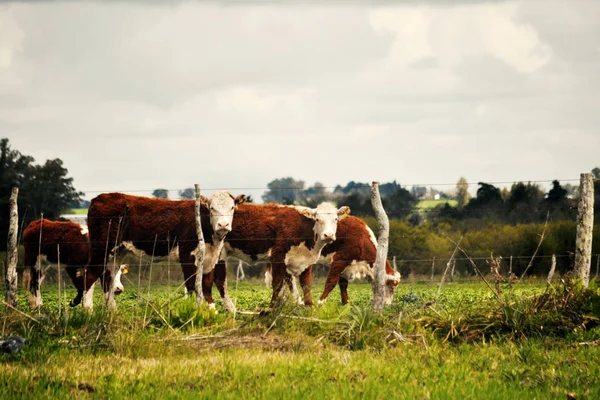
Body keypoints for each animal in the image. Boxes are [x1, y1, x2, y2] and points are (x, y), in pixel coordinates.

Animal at [80, 191, 246, 310]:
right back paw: (88, 310)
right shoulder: (187, 255)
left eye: (232, 207)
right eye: (212, 208)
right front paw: (195, 311)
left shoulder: (211, 259)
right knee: (91, 274)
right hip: (102, 248)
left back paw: (112, 313)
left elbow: (206, 287)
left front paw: (212, 312)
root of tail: (99, 198)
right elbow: (192, 286)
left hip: (118, 251)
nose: (223, 224)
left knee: (108, 276)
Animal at [200, 202, 352, 308]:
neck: (301, 227)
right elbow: (278, 284)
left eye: (336, 219)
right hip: (218, 254)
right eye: (317, 219)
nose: (328, 235)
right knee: (217, 281)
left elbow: (306, 285)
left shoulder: (306, 261)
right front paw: (272, 308)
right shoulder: (278, 256)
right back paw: (225, 308)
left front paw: (309, 308)